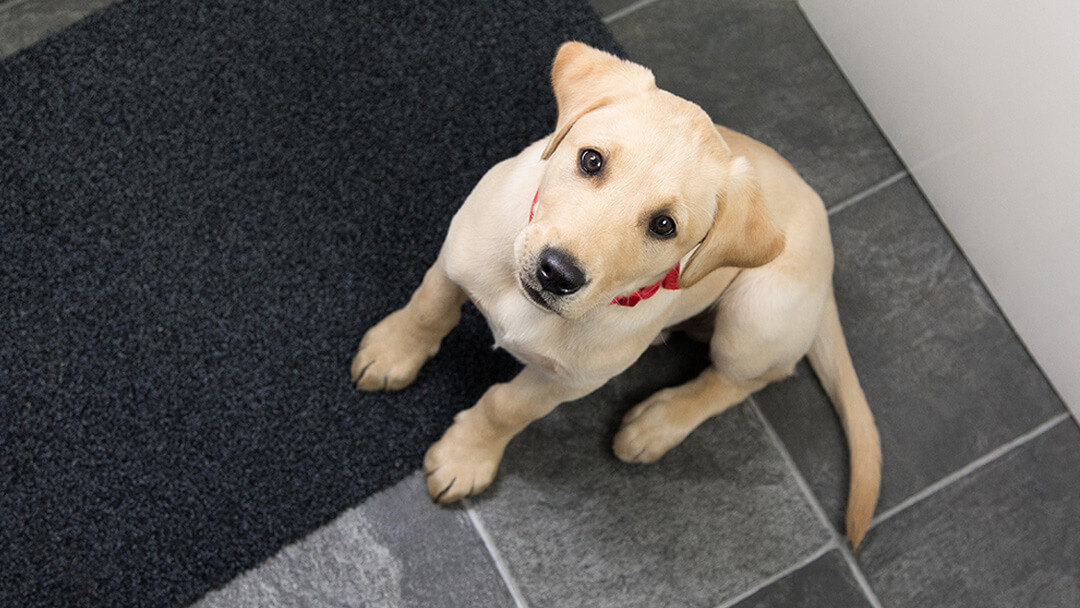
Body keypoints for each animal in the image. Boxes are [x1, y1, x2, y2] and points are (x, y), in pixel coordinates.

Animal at [349, 41, 881, 546]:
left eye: (664, 225)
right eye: (591, 160)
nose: (556, 273)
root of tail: (822, 226)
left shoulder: (568, 381)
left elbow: (505, 407)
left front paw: (466, 456)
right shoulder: (457, 254)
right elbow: (428, 309)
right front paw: (392, 353)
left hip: (756, 315)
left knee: (747, 378)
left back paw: (656, 423)